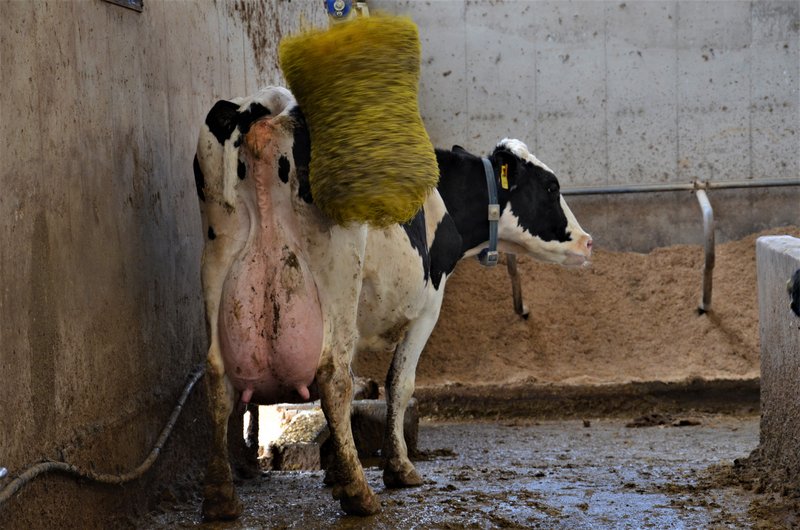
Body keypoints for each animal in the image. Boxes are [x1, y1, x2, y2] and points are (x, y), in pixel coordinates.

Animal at [195, 86, 592, 520]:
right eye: (551, 187)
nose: (588, 241)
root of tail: (270, 109)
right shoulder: (428, 306)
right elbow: (399, 383)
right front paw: (396, 468)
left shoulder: (355, 322)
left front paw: (336, 471)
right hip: (337, 275)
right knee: (332, 377)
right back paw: (360, 494)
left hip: (220, 266)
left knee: (217, 378)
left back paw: (221, 495)